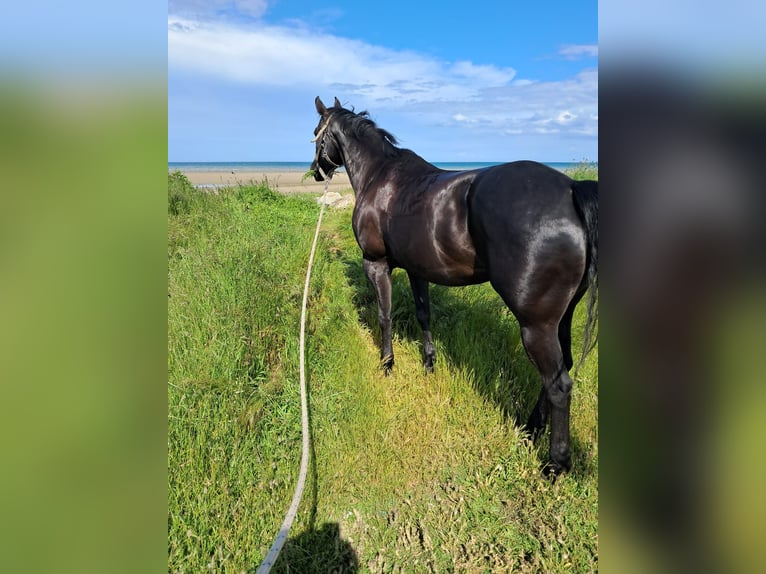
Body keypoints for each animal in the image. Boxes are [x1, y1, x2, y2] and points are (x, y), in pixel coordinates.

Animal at [308, 98, 596, 476]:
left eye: (317, 131)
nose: (315, 171)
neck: (380, 177)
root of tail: (571, 190)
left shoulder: (376, 263)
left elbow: (385, 315)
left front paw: (387, 364)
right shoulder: (417, 270)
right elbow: (423, 314)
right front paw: (429, 363)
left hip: (536, 324)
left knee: (558, 384)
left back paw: (554, 464)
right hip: (561, 317)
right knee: (562, 369)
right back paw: (531, 427)